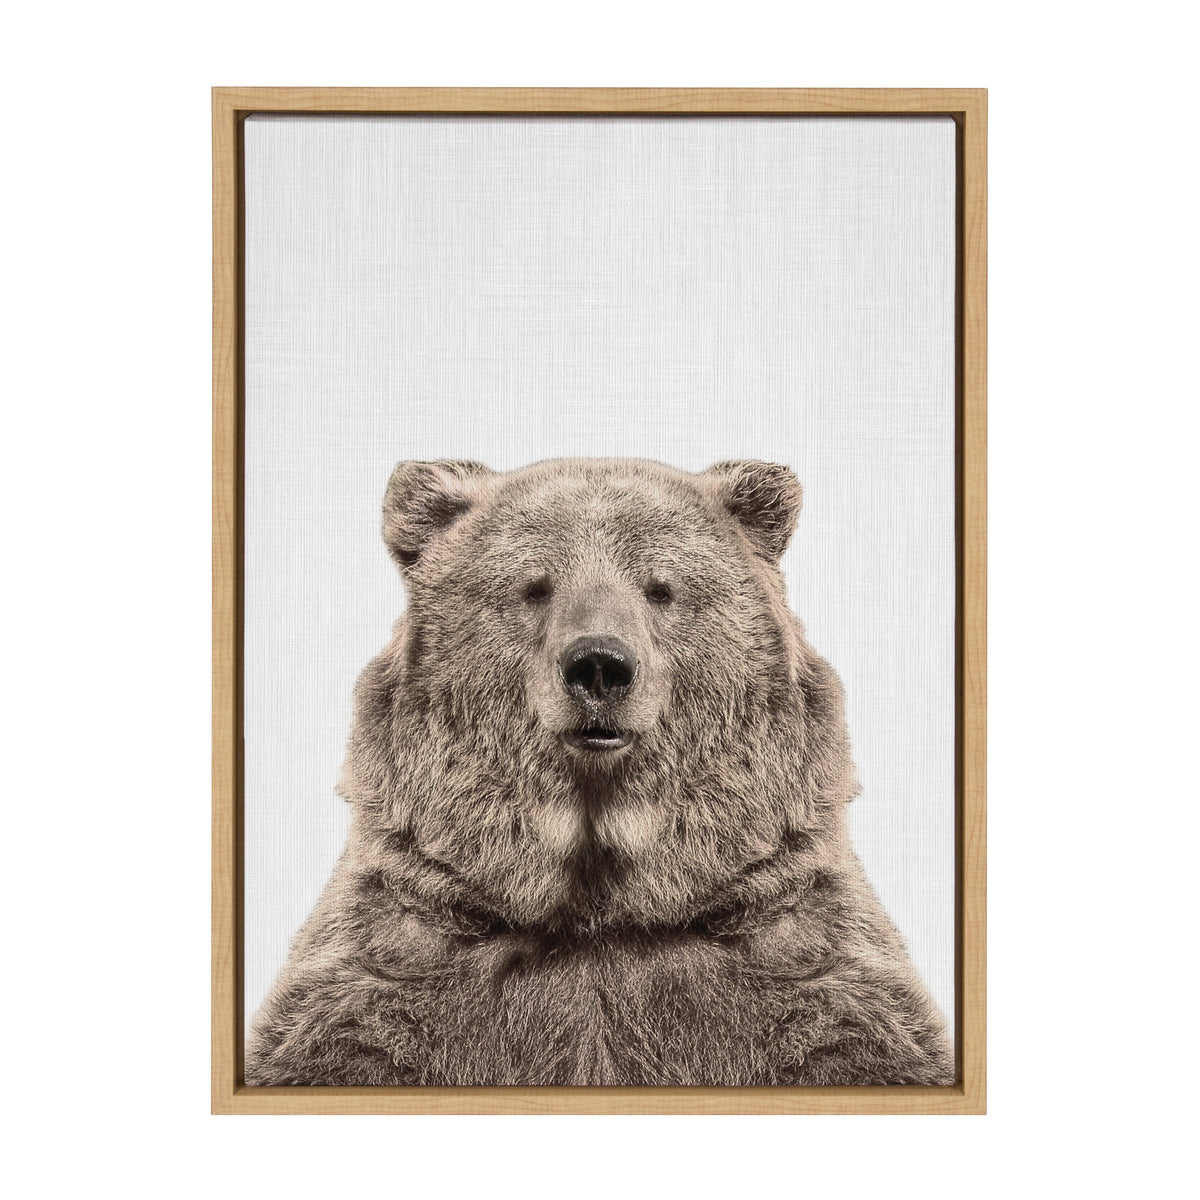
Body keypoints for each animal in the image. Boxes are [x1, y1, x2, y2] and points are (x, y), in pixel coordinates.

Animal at [246, 457, 953, 1086]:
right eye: (535, 586)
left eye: (660, 588)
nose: (599, 666)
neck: (601, 905)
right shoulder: (398, 955)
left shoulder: (795, 952)